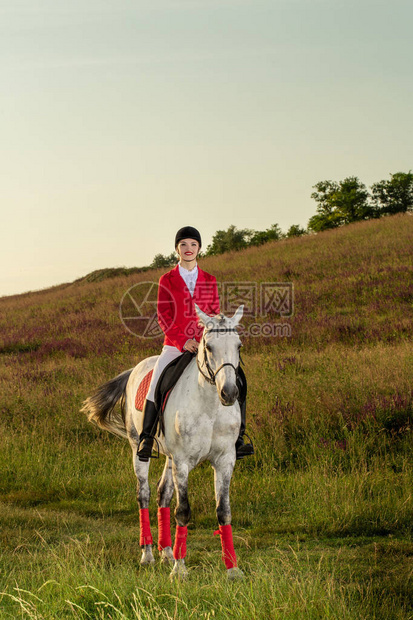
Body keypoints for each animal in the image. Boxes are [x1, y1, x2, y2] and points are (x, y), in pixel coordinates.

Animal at [82, 302, 246, 580]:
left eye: (238, 346)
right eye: (209, 347)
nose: (229, 393)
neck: (210, 407)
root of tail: (136, 369)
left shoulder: (225, 460)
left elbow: (223, 511)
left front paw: (233, 570)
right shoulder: (183, 461)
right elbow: (183, 511)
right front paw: (180, 571)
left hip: (170, 458)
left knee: (163, 494)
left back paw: (167, 551)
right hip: (140, 448)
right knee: (144, 494)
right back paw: (148, 554)